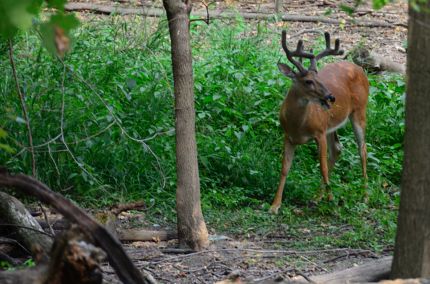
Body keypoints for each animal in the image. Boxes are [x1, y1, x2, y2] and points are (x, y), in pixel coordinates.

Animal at [270, 31, 368, 213]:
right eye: (308, 81)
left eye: (318, 77)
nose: (331, 97)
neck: (298, 125)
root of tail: (360, 69)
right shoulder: (288, 136)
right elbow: (285, 168)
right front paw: (275, 205)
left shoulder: (319, 132)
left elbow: (322, 167)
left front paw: (332, 201)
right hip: (331, 125)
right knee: (337, 149)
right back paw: (316, 197)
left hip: (360, 111)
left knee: (362, 149)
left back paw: (364, 196)